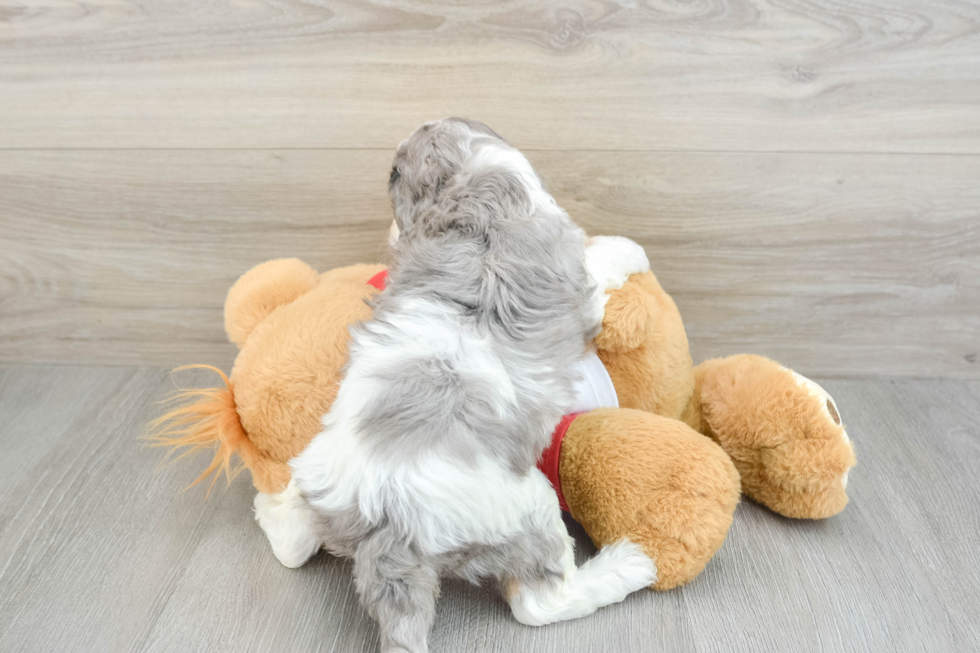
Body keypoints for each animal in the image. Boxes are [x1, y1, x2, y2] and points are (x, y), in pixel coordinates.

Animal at [292, 118, 660, 652]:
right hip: (529, 509)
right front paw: (631, 249)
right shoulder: (578, 278)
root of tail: (385, 533)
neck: (471, 189)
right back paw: (627, 566)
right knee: (539, 603)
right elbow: (601, 260)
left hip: (316, 472)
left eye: (394, 176)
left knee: (293, 530)